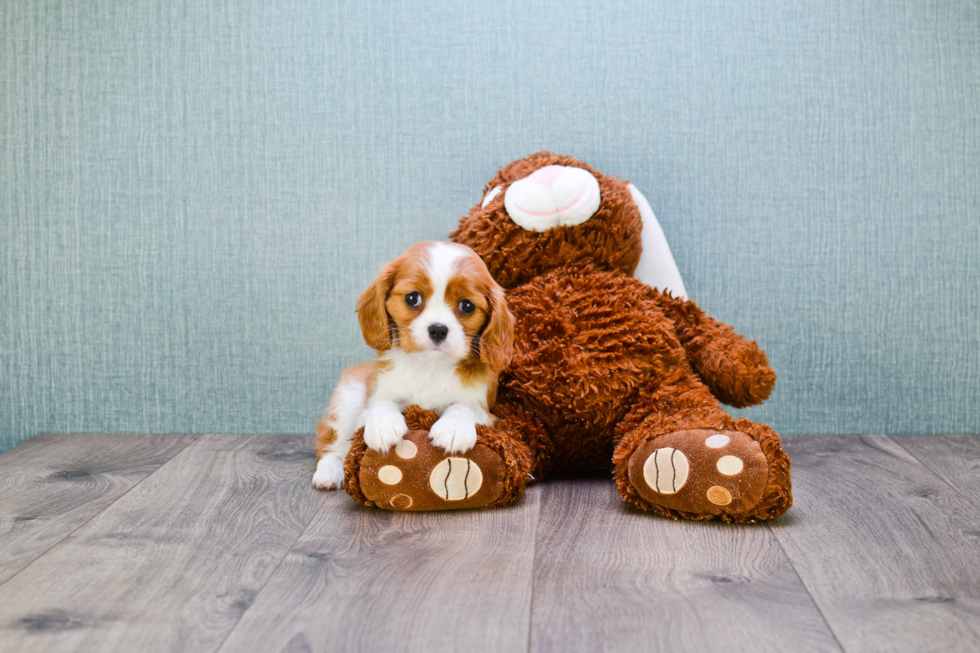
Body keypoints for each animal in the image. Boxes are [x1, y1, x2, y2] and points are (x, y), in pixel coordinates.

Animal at [312, 241, 512, 488]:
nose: (438, 329)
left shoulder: (485, 412)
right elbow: (382, 403)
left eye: (467, 306)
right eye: (412, 298)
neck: (429, 366)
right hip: (348, 397)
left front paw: (453, 427)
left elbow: (464, 407)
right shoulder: (373, 400)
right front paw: (384, 424)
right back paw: (329, 472)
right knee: (332, 443)